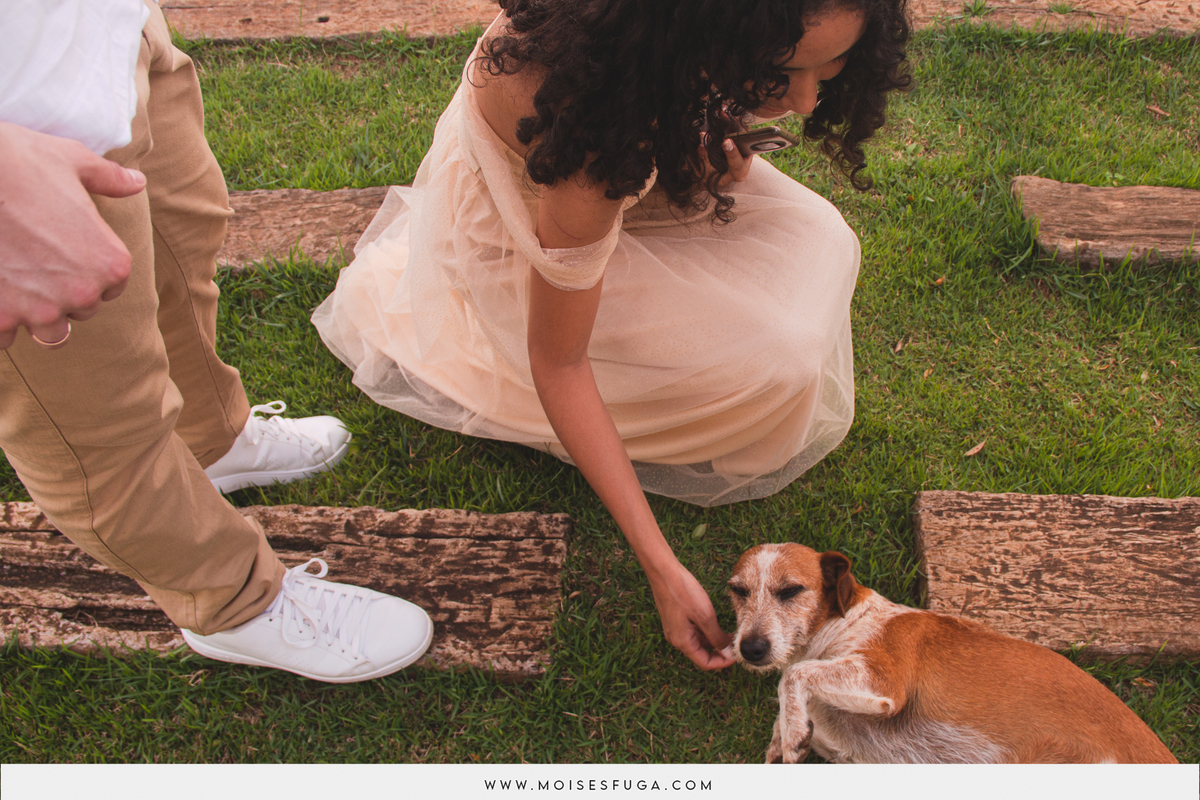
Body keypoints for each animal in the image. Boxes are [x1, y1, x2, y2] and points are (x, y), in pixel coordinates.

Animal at [728, 542, 1178, 764]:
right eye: (738, 591)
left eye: (791, 590)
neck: (840, 625)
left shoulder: (884, 680)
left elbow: (795, 675)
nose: (750, 649)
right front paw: (788, 732)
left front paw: (792, 731)